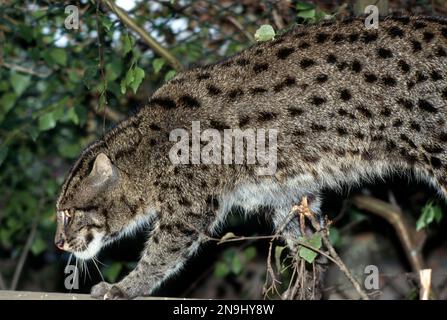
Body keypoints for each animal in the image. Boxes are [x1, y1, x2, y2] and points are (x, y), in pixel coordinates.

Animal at [55, 16, 447, 298]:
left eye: (69, 213)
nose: (58, 243)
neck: (148, 153)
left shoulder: (188, 209)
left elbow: (160, 255)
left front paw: (125, 287)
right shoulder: (289, 194)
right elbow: (309, 249)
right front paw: (307, 288)